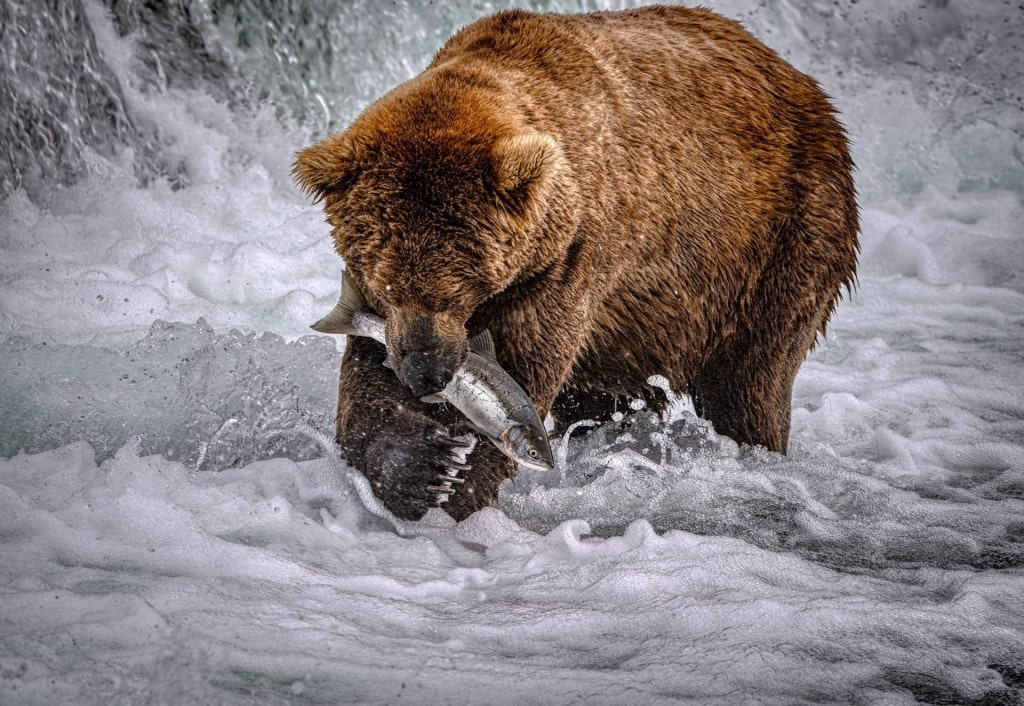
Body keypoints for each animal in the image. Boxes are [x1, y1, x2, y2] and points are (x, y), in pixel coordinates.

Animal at [294, 5, 856, 520]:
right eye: (386, 286)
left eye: (457, 290)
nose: (425, 377)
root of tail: (798, 77)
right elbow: (368, 369)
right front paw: (411, 469)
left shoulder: (565, 265)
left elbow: (519, 371)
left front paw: (454, 483)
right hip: (640, 329)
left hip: (780, 242)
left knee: (749, 381)